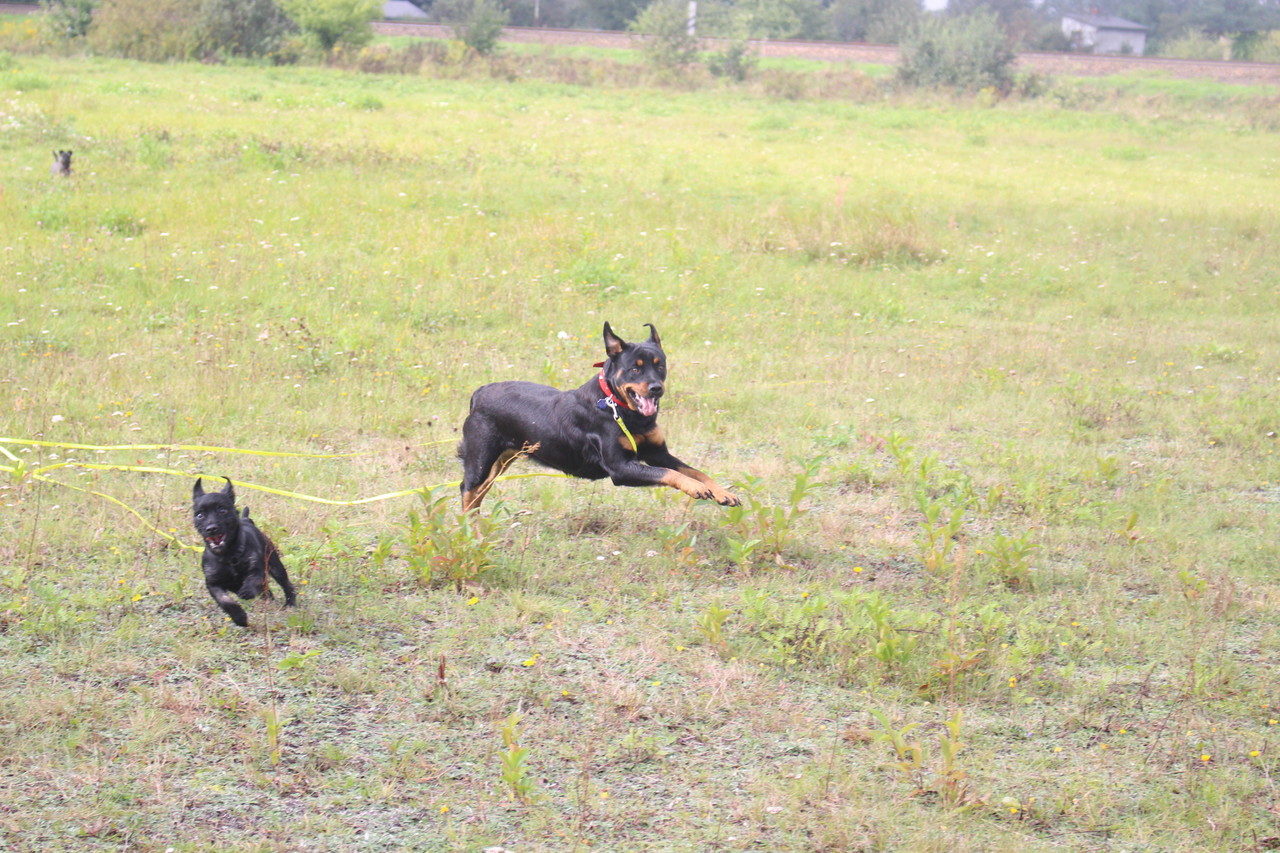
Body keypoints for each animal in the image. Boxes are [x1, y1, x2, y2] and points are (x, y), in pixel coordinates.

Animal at [192, 477, 297, 628]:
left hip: (275, 565)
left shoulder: (258, 570)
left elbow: (252, 580)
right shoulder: (213, 583)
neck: (228, 554)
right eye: (200, 515)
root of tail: (246, 519)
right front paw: (239, 618)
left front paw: (247, 592)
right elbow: (225, 601)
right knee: (267, 590)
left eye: (222, 510)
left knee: (286, 585)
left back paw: (290, 603)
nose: (211, 528)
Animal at [458, 322, 739, 511]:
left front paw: (721, 491)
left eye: (660, 366)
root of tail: (479, 393)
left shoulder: (657, 453)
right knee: (467, 491)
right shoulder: (620, 468)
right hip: (481, 458)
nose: (656, 388)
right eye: (634, 369)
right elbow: (669, 474)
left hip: (501, 460)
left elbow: (694, 471)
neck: (622, 410)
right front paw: (696, 488)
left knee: (478, 494)